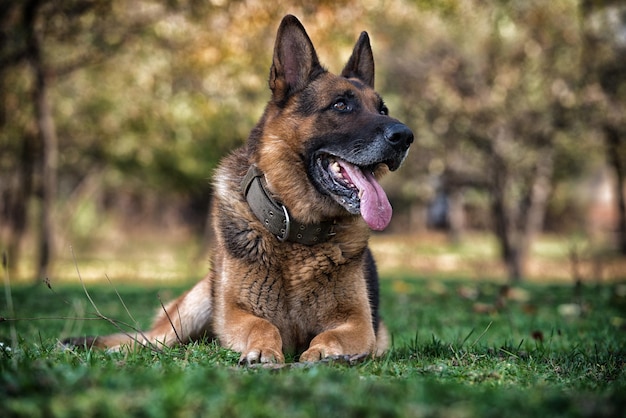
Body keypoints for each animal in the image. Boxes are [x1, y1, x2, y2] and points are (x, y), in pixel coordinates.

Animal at [66, 14, 412, 364]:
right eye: (340, 105)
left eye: (382, 110)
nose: (405, 136)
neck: (297, 232)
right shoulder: (235, 313)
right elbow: (263, 325)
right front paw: (263, 351)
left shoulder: (360, 324)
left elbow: (333, 335)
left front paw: (323, 352)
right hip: (192, 309)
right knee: (150, 339)